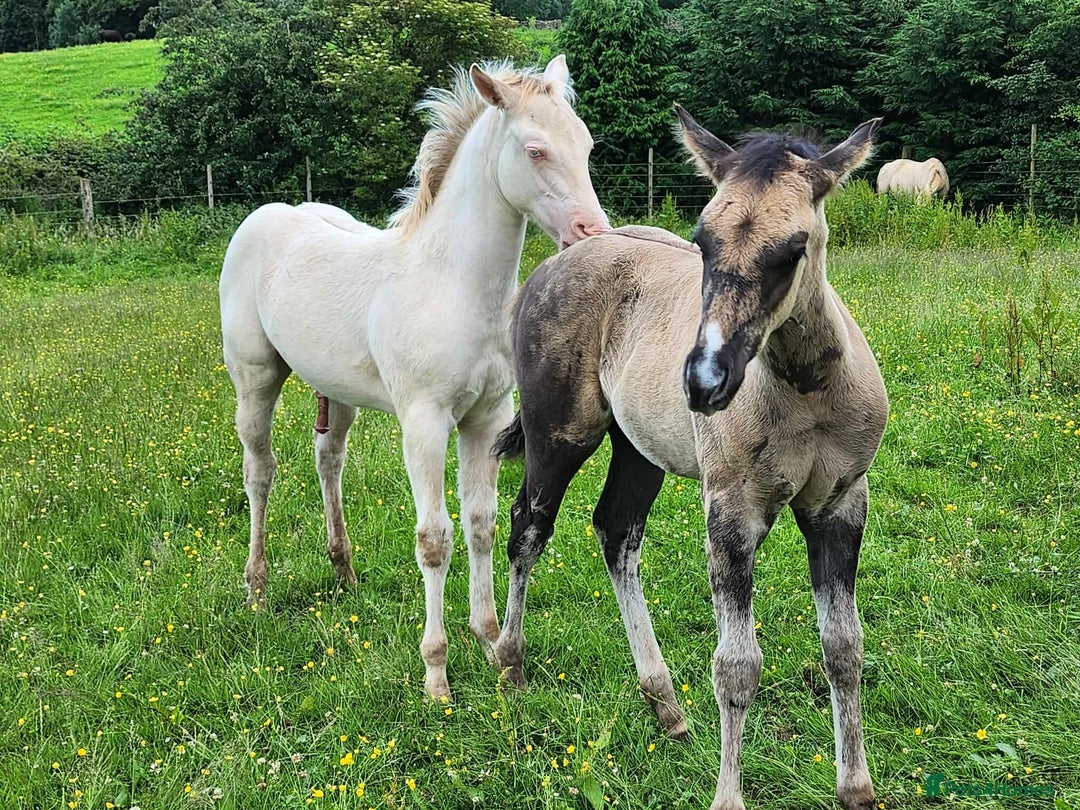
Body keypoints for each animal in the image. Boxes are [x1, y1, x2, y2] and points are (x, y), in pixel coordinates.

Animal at [219, 56, 609, 700]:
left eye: (587, 144)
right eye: (535, 150)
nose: (591, 234)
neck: (454, 284)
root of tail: (269, 216)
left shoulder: (486, 420)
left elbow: (480, 525)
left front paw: (493, 645)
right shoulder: (424, 422)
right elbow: (434, 539)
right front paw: (437, 675)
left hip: (339, 391)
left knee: (328, 458)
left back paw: (344, 570)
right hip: (254, 375)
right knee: (260, 471)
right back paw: (255, 588)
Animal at [491, 108, 887, 810]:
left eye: (793, 250)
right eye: (701, 240)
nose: (703, 381)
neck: (806, 393)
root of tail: (555, 262)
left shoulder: (840, 505)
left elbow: (844, 649)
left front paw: (856, 789)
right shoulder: (732, 511)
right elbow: (737, 665)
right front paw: (728, 796)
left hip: (638, 449)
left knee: (615, 530)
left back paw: (665, 704)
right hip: (559, 434)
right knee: (527, 527)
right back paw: (510, 662)